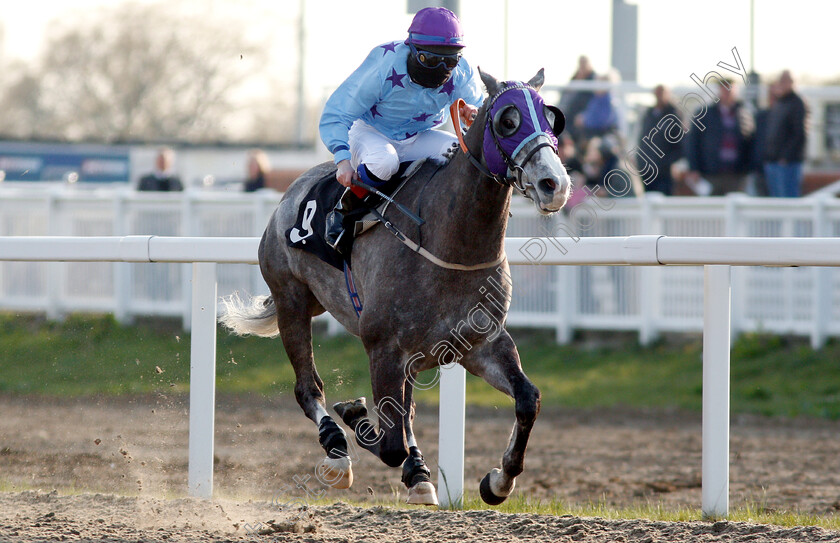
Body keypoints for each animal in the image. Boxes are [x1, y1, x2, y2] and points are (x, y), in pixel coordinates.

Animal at [220, 70, 572, 508]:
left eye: (551, 117)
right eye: (508, 121)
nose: (554, 184)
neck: (448, 243)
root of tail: (291, 189)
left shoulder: (480, 343)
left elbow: (528, 399)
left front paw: (498, 480)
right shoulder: (383, 347)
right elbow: (390, 443)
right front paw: (355, 415)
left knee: (405, 412)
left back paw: (417, 473)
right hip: (292, 301)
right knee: (309, 389)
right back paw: (338, 450)